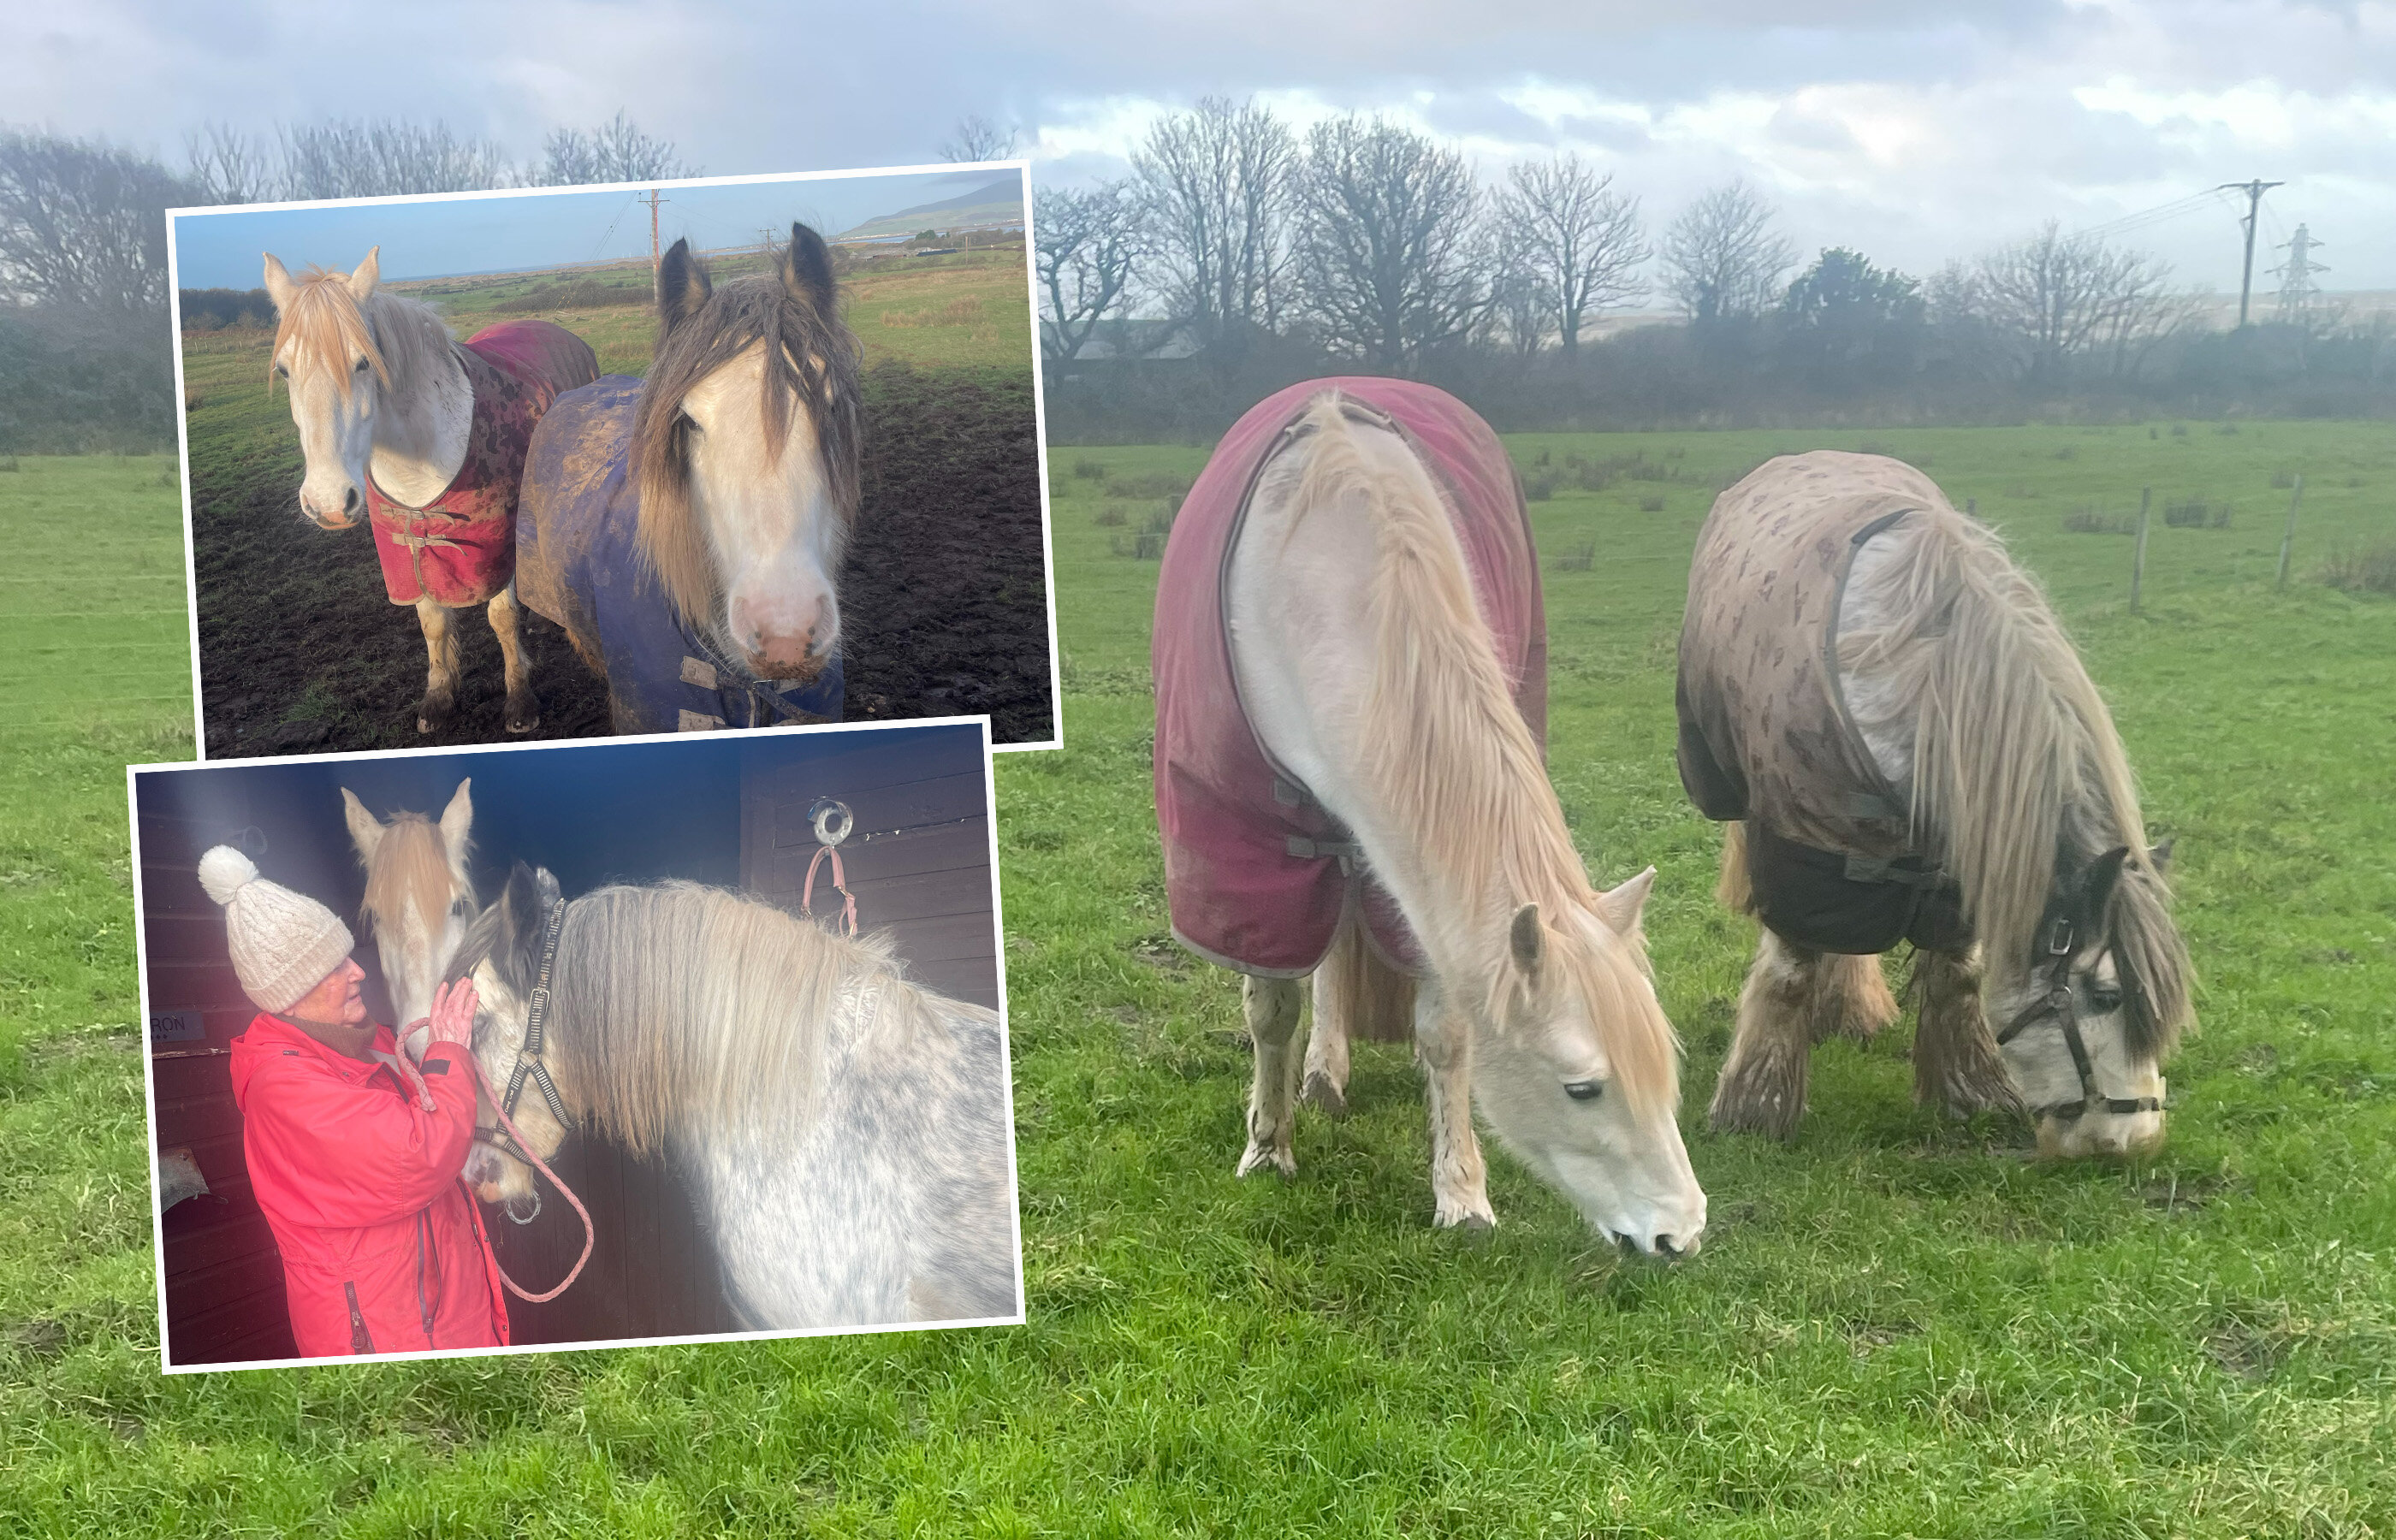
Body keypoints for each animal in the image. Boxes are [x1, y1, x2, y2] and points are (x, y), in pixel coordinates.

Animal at [261, 248, 599, 734]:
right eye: (284, 369)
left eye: (363, 363)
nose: (328, 503)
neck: (421, 459)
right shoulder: (408, 553)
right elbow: (432, 624)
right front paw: (439, 698)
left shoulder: (496, 541)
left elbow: (502, 617)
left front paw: (520, 701)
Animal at [1153, 380, 1705, 1254]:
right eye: (1583, 1089)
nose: (1681, 1235)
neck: (1322, 590)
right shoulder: (1245, 852)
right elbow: (1271, 1008)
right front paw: (1267, 1149)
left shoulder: (1420, 892)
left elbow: (1447, 1035)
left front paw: (1462, 1194)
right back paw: (1320, 1074)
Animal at [1676, 451, 2195, 1158]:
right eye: (2110, 996)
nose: (2131, 1139)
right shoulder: (1803, 845)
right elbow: (1788, 970)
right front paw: (1756, 1109)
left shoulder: (1948, 867)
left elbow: (1958, 974)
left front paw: (1971, 1095)